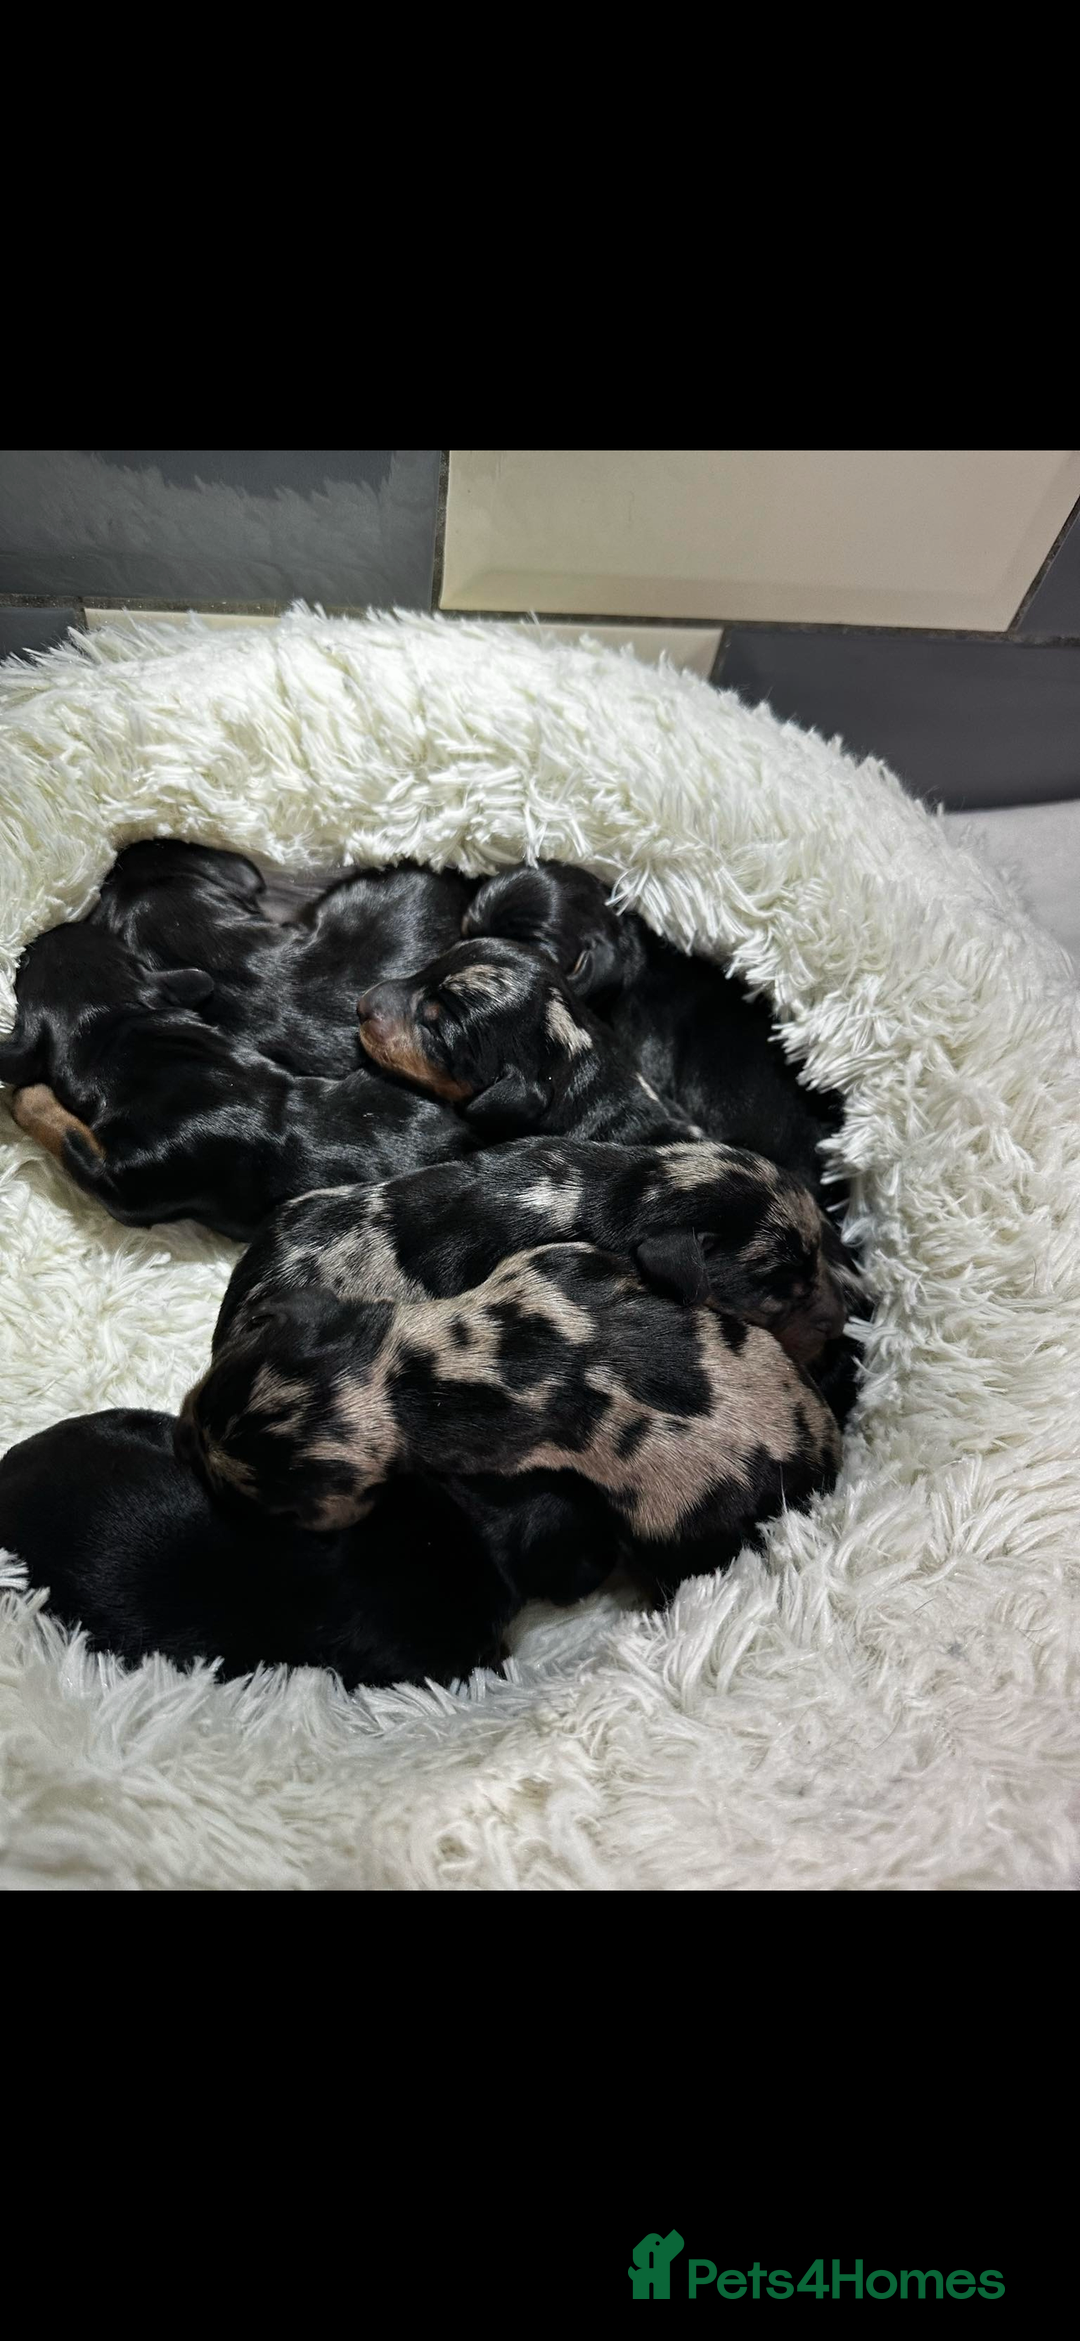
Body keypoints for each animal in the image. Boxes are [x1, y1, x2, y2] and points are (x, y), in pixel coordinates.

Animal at [0, 920, 473, 1241]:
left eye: (23, 964)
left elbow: (65, 1135)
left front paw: (27, 1096)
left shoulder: (124, 1186)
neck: (122, 1035)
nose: (54, 927)